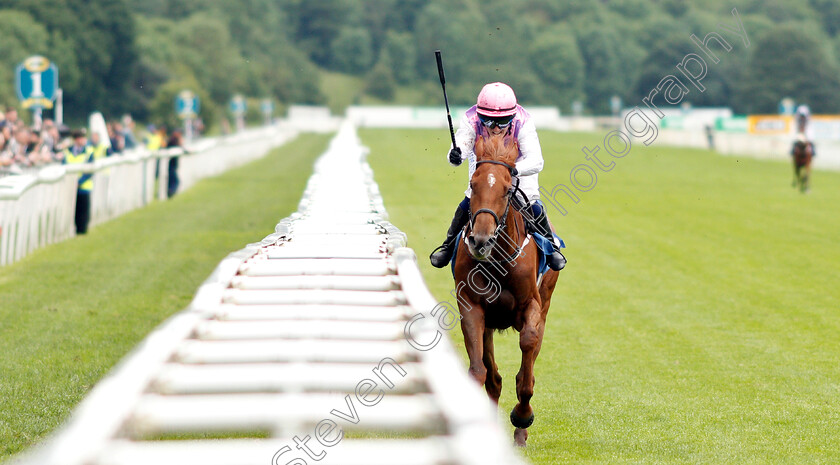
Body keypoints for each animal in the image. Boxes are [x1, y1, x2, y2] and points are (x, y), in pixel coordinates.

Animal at [452, 130, 556, 446]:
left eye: (509, 190)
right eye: (473, 184)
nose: (480, 240)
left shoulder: (532, 307)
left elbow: (527, 367)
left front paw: (522, 417)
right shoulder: (471, 305)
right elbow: (479, 372)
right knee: (493, 378)